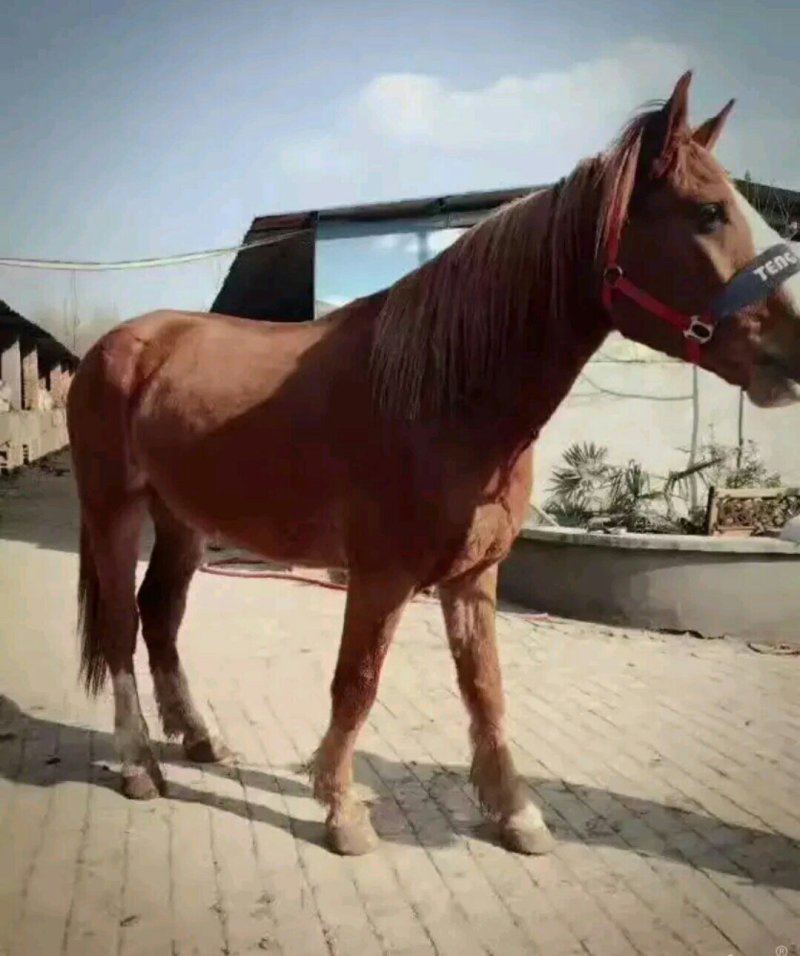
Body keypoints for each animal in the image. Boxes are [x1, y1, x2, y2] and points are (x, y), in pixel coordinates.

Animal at [66, 71, 800, 856]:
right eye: (709, 212)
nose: (793, 349)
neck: (443, 397)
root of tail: (118, 345)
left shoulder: (475, 576)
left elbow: (486, 691)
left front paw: (515, 812)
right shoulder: (380, 576)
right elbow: (356, 683)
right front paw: (343, 810)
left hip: (182, 521)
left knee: (159, 617)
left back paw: (197, 739)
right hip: (113, 512)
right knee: (119, 626)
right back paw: (139, 764)